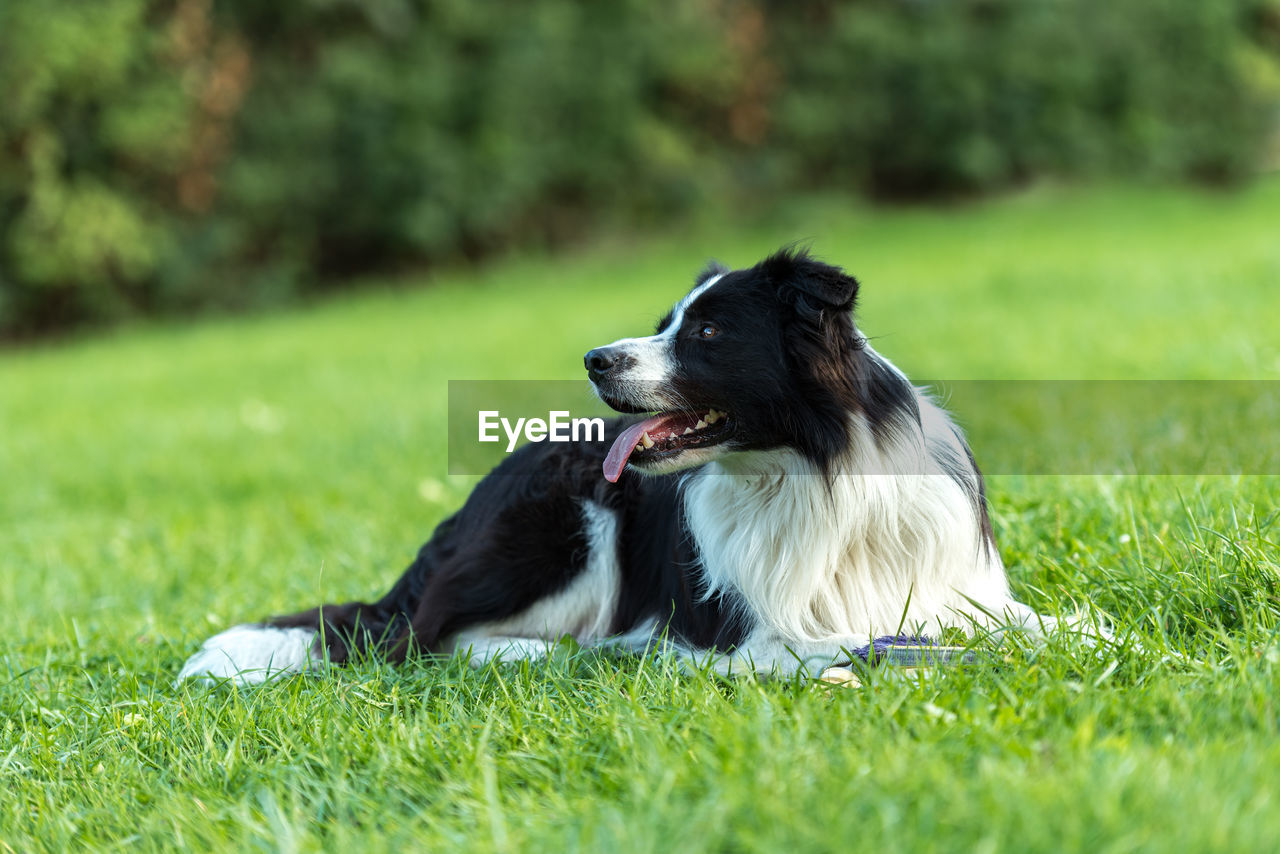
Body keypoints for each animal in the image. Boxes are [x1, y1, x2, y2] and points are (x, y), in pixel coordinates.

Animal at [177, 243, 1059, 686]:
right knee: (425, 639)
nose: (596, 359)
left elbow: (1035, 626)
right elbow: (843, 643)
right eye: (665, 322)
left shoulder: (958, 587)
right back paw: (551, 651)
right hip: (565, 523)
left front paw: (1078, 639)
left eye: (706, 332)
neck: (808, 470)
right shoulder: (756, 632)